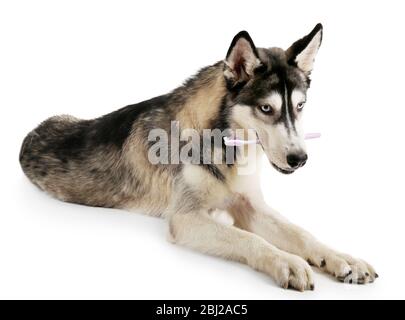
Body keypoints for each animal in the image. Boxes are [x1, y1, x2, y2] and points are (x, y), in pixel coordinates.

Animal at [20, 24, 378, 290]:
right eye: (266, 108)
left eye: (300, 106)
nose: (299, 158)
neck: (226, 149)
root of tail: (29, 134)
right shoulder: (186, 219)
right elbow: (248, 238)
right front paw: (286, 261)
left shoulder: (250, 205)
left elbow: (301, 233)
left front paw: (341, 258)